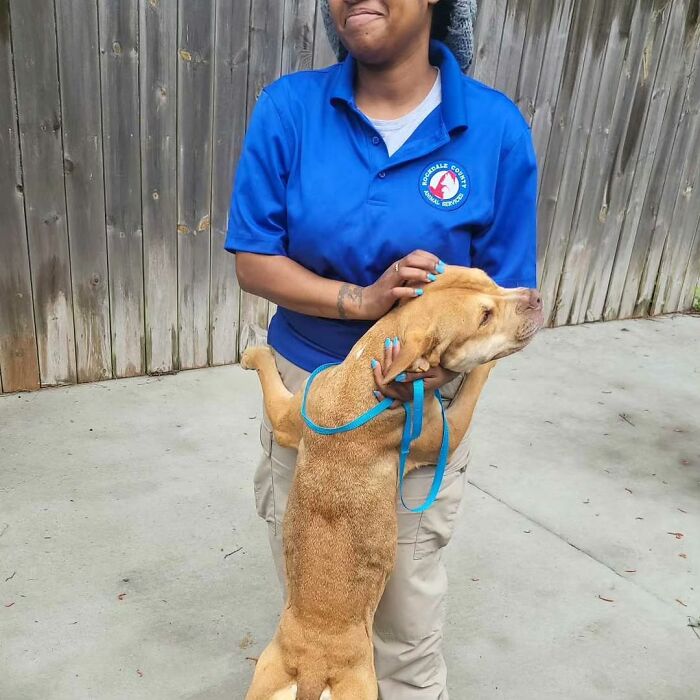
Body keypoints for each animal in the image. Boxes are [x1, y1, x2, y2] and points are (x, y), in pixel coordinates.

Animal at [239, 266, 540, 696]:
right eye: (484, 317)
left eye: (487, 277)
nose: (536, 297)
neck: (365, 378)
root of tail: (313, 665)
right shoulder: (444, 435)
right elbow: (471, 387)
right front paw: (485, 366)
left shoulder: (285, 420)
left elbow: (270, 379)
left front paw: (254, 353)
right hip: (362, 685)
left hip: (267, 675)